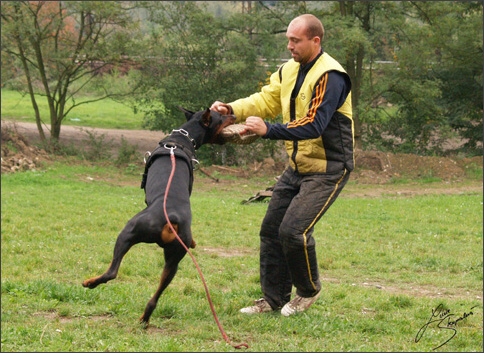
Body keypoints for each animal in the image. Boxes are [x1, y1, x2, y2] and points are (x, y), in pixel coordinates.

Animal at [82, 106, 235, 326]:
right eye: (221, 117)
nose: (234, 115)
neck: (183, 137)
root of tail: (171, 218)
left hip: (128, 230)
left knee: (112, 271)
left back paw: (90, 282)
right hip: (173, 258)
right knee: (157, 293)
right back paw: (144, 318)